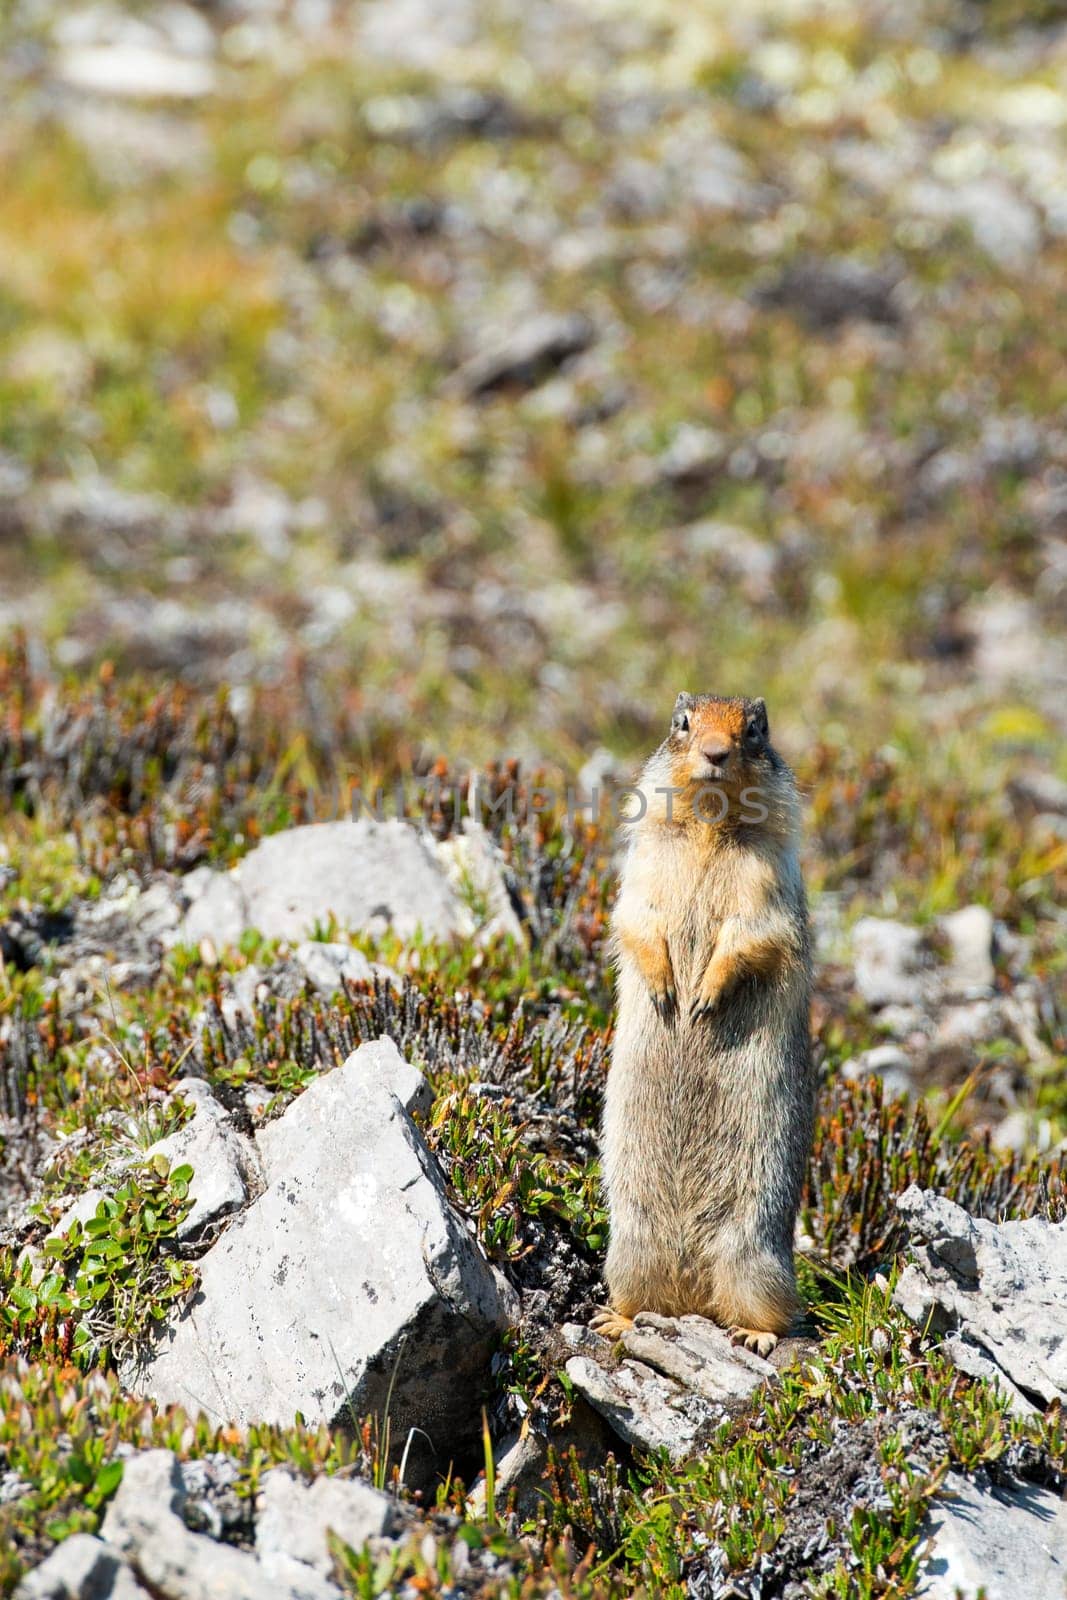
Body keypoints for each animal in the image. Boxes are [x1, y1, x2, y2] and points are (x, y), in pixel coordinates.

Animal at [598, 694, 812, 1356]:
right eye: (682, 722)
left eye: (756, 729)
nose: (716, 753)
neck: (708, 828)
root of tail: (695, 1297)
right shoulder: (642, 868)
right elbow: (636, 917)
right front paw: (668, 990)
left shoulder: (767, 882)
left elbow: (754, 933)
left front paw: (705, 998)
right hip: (629, 1251)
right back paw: (617, 1320)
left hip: (755, 1259)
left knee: (777, 1312)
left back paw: (755, 1334)